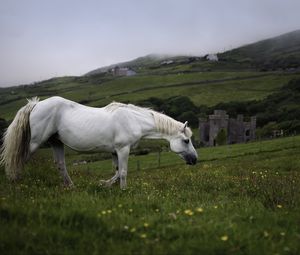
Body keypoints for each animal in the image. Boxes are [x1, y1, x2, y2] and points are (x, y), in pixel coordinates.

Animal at [1, 96, 198, 188]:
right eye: (186, 140)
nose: (195, 160)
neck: (133, 120)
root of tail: (35, 104)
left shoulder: (114, 151)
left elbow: (117, 172)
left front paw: (105, 184)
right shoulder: (123, 149)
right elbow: (123, 172)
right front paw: (123, 190)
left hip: (56, 142)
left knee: (60, 165)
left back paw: (70, 187)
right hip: (35, 143)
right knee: (19, 159)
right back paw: (15, 182)